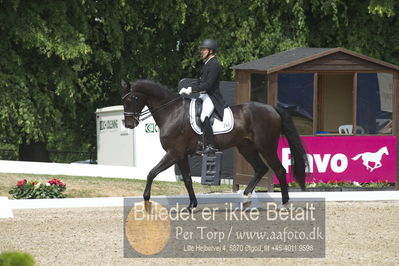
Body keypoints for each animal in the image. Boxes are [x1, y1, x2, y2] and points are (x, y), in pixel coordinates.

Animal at [120, 79, 308, 210]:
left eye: (132, 99)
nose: (129, 124)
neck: (172, 112)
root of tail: (272, 109)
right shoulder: (181, 155)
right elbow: (187, 179)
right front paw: (191, 205)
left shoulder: (174, 153)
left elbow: (152, 173)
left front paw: (146, 200)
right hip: (246, 147)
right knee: (260, 168)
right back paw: (246, 200)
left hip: (266, 147)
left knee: (280, 170)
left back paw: (284, 204)